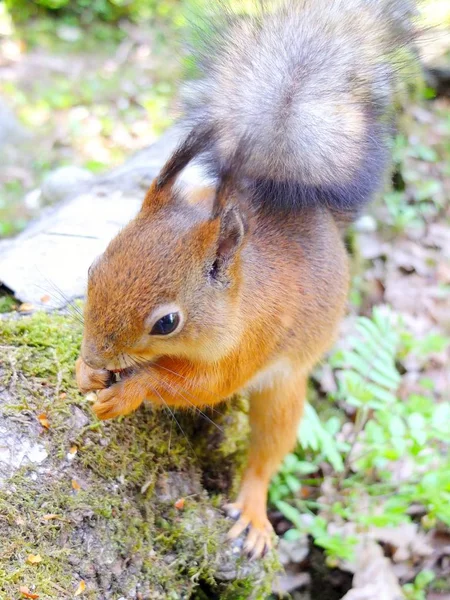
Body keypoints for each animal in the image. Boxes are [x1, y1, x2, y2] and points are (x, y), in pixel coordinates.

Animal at [75, 0, 416, 556]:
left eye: (166, 322)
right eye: (93, 267)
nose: (98, 357)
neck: (239, 296)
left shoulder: (246, 346)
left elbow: (198, 387)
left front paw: (128, 390)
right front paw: (87, 373)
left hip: (285, 388)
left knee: (266, 453)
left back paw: (253, 513)